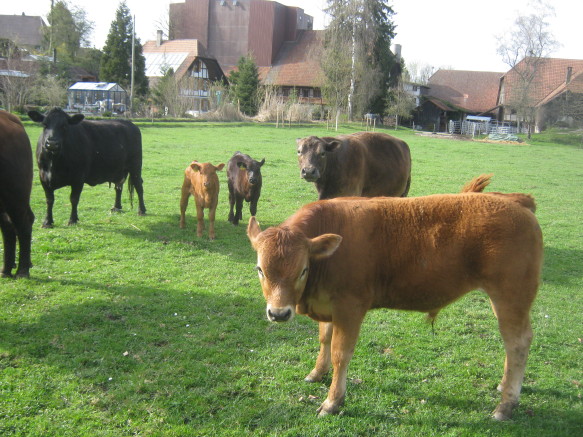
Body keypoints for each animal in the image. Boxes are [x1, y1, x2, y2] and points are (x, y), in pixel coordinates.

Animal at [247, 175, 543, 421]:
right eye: (260, 269)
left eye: (303, 270)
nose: (278, 313)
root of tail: (513, 200)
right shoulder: (328, 305)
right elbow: (324, 340)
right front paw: (317, 373)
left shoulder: (350, 307)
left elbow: (341, 352)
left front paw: (332, 401)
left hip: (511, 297)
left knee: (517, 343)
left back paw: (506, 404)